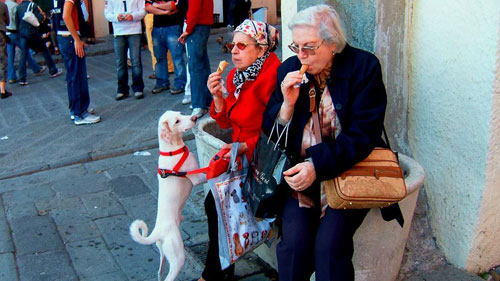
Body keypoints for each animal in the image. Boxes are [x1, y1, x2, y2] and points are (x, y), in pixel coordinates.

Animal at [131, 110, 207, 278]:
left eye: (180, 113)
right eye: (176, 121)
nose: (194, 117)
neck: (171, 151)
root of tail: (157, 232)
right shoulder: (197, 178)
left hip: (163, 255)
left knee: (160, 273)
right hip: (178, 256)